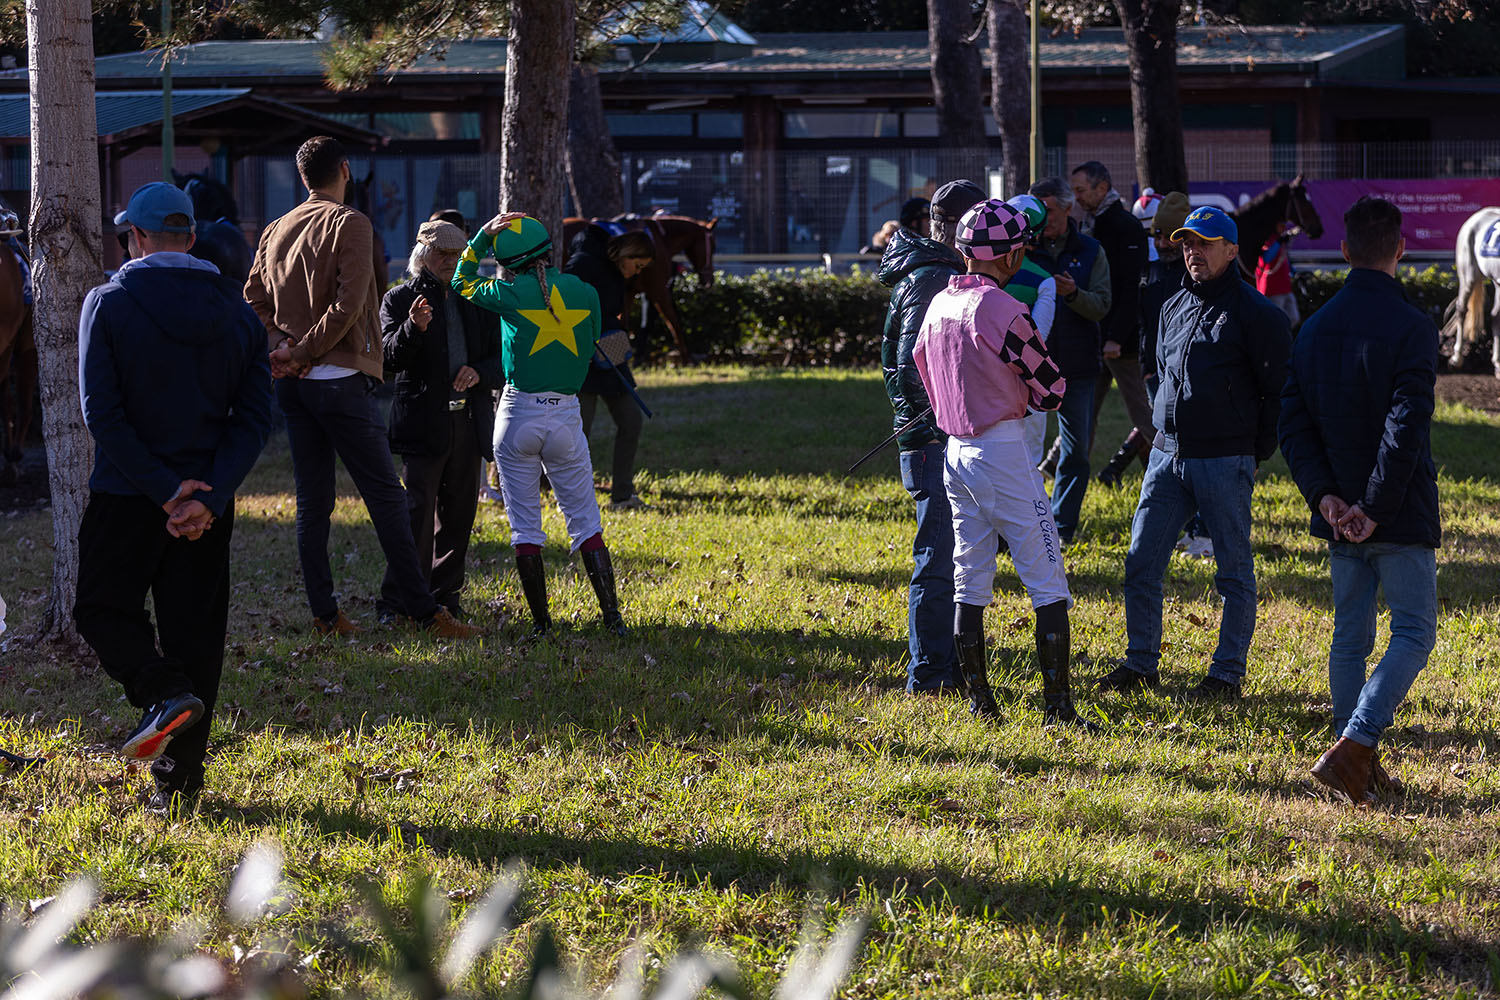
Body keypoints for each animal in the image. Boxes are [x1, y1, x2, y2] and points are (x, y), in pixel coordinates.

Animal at [567, 212, 720, 361]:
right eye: (713, 247)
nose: (710, 281)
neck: (661, 238)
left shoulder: (628, 292)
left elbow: (625, 320)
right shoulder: (658, 290)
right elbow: (673, 320)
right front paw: (686, 357)